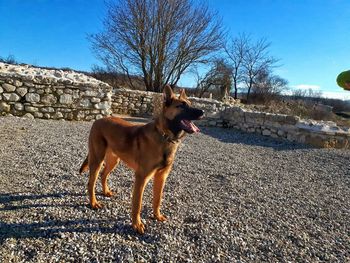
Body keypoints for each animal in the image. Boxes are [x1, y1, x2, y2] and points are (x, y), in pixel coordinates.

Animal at [79, 85, 204, 234]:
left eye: (190, 103)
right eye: (182, 106)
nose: (202, 112)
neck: (164, 137)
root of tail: (98, 120)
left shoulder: (161, 176)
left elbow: (157, 199)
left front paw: (157, 216)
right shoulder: (141, 177)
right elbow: (137, 204)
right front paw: (136, 224)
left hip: (113, 161)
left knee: (103, 175)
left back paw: (106, 192)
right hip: (97, 160)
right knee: (91, 183)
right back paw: (93, 203)